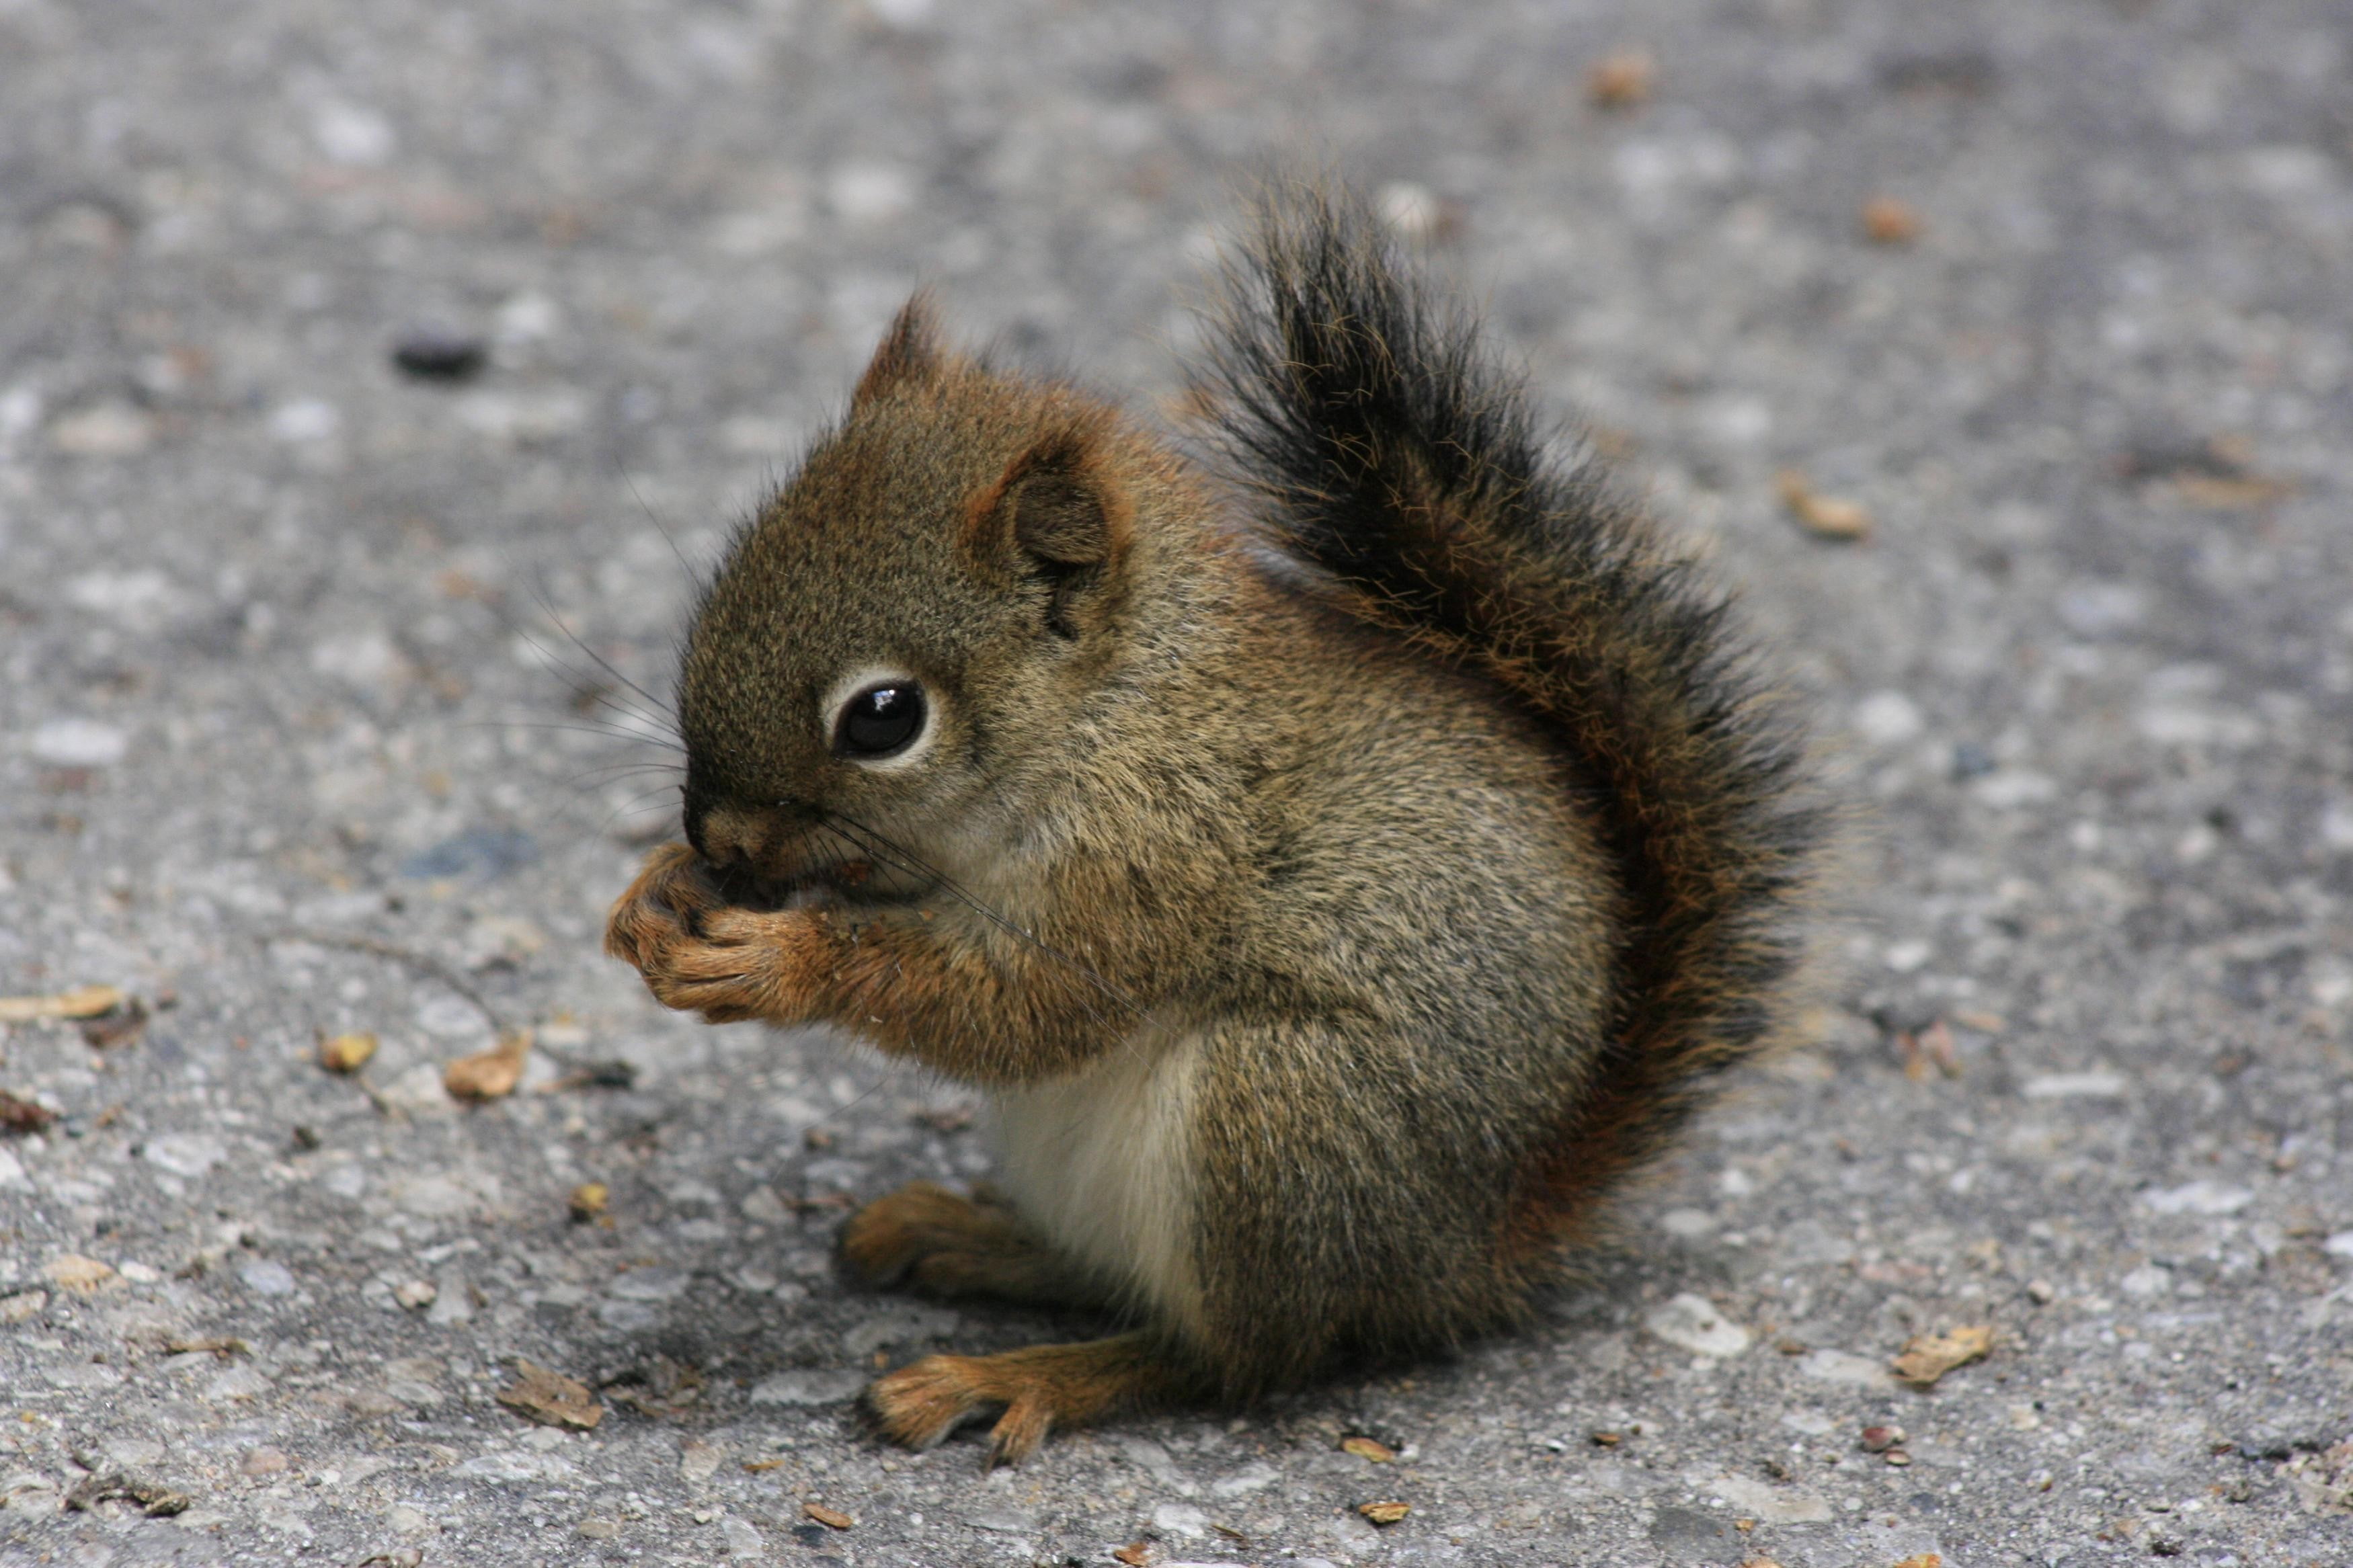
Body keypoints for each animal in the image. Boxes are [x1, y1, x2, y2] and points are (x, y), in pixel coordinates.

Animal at [604, 187, 1821, 1465]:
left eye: (884, 717)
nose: (722, 839)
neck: (1113, 712)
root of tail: (1466, 1255)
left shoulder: (1155, 856)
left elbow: (1026, 1004)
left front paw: (777, 960)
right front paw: (655, 894)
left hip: (1280, 1119)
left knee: (1232, 1357)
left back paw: (1018, 1373)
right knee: (1116, 1278)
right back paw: (969, 1236)